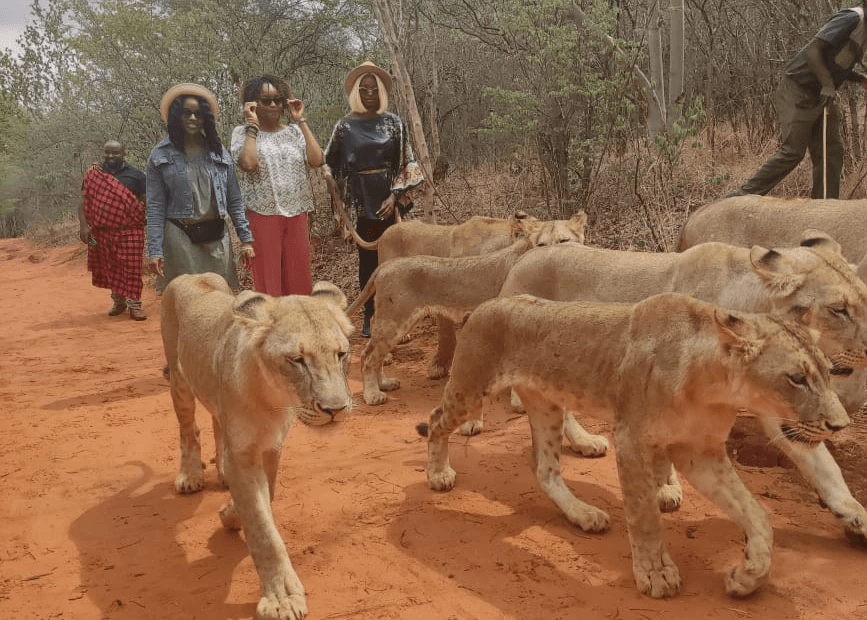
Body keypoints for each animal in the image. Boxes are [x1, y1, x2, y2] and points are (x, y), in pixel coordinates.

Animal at [161, 272, 354, 620]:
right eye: (297, 360)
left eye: (341, 354)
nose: (336, 409)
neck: (272, 398)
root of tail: (191, 275)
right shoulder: (244, 454)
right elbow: (263, 530)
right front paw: (282, 598)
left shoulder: (271, 447)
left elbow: (268, 496)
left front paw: (230, 512)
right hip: (179, 379)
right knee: (188, 429)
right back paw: (190, 476)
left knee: (216, 422)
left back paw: (221, 474)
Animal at [349, 211, 587, 404]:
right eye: (542, 244)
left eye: (564, 240)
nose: (553, 256)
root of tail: (385, 266)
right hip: (395, 319)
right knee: (369, 356)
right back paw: (373, 395)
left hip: (398, 320)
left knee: (371, 352)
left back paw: (384, 383)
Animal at [424, 293, 849, 598]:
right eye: (796, 378)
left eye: (828, 372)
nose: (840, 425)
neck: (714, 388)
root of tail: (483, 305)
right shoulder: (630, 438)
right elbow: (645, 515)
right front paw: (656, 574)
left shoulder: (700, 453)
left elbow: (757, 515)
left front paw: (748, 577)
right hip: (470, 388)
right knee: (435, 420)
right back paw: (438, 473)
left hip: (545, 404)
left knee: (545, 469)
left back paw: (584, 515)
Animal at [483, 233, 867, 544]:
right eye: (839, 310)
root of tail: (526, 256)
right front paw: (666, 488)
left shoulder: (777, 401)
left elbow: (822, 464)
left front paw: (854, 513)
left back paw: (584, 442)